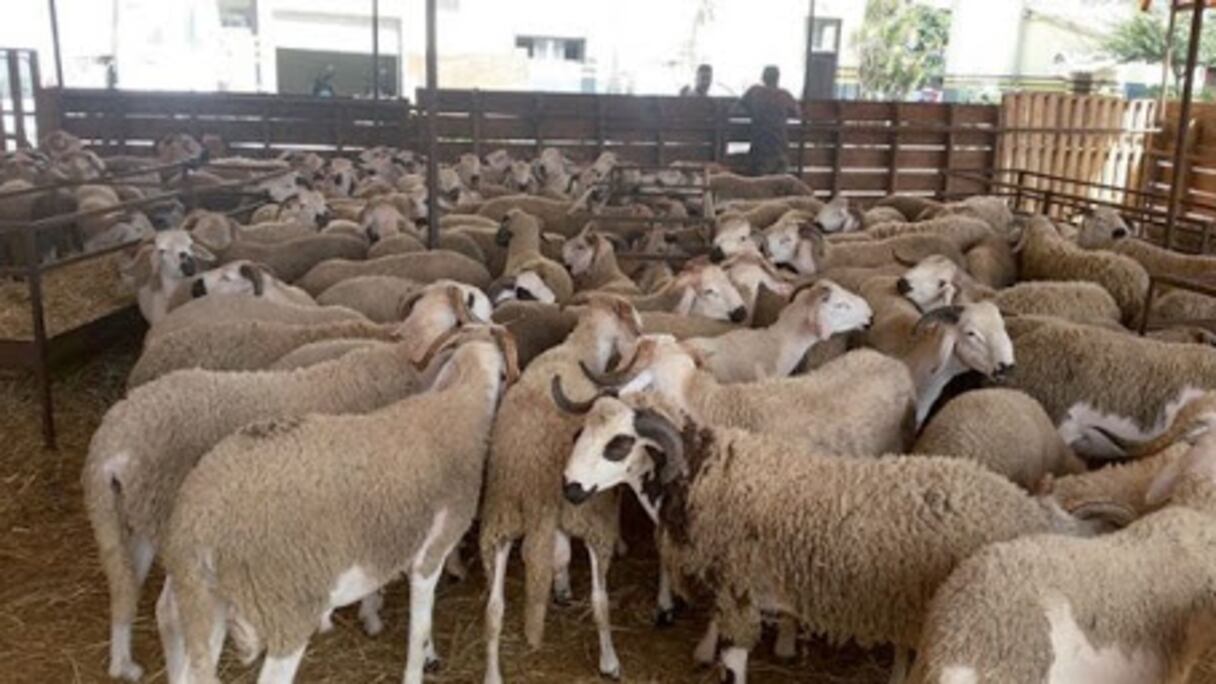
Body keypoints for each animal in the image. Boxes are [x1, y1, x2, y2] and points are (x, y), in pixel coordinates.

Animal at [85, 282, 482, 681]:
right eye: (474, 299)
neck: (407, 355)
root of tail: (111, 438)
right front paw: (409, 639)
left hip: (139, 519)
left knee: (126, 585)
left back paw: (124, 663)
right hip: (174, 524)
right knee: (168, 611)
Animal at [158, 325, 518, 684]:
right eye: (504, 375)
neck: (459, 403)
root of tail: (200, 522)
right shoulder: (432, 551)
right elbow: (419, 627)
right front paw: (419, 665)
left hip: (200, 601)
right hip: (286, 606)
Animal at [480, 295, 644, 684]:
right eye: (634, 326)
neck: (579, 348)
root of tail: (532, 472)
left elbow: (559, 554)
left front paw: (560, 584)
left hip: (499, 520)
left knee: (493, 610)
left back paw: (492, 673)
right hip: (589, 515)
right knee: (600, 602)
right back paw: (610, 660)